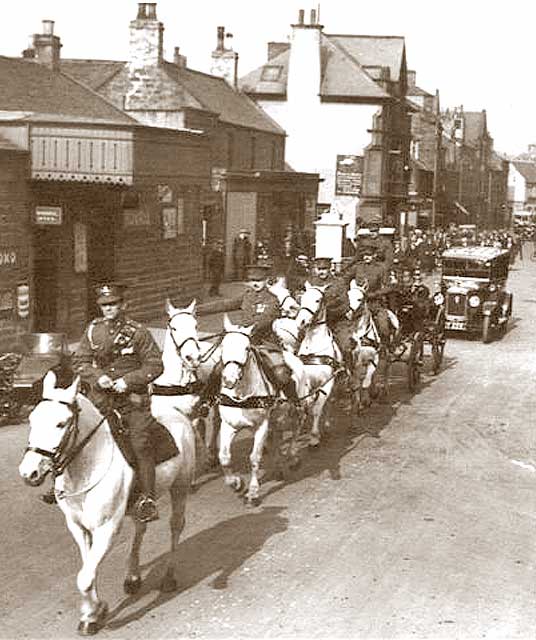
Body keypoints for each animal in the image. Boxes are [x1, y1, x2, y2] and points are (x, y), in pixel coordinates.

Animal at [18, 370, 195, 636]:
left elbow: (84, 577)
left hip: (180, 488)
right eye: (32, 419)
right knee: (140, 529)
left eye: (61, 423)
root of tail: (176, 412)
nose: (28, 473)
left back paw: (168, 577)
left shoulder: (107, 529)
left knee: (176, 527)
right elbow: (88, 570)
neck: (87, 466)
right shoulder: (78, 527)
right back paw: (132, 577)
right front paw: (94, 610)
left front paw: (92, 615)